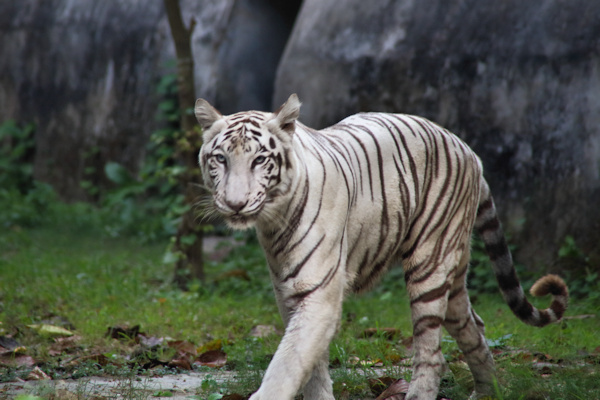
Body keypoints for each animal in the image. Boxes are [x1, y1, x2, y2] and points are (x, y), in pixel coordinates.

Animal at [196, 94, 568, 400]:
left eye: (259, 160)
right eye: (221, 159)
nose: (235, 204)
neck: (274, 222)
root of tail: (468, 150)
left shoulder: (319, 292)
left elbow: (289, 362)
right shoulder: (288, 294)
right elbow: (310, 363)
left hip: (429, 263)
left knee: (432, 352)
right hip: (454, 272)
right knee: (474, 326)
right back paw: (488, 392)